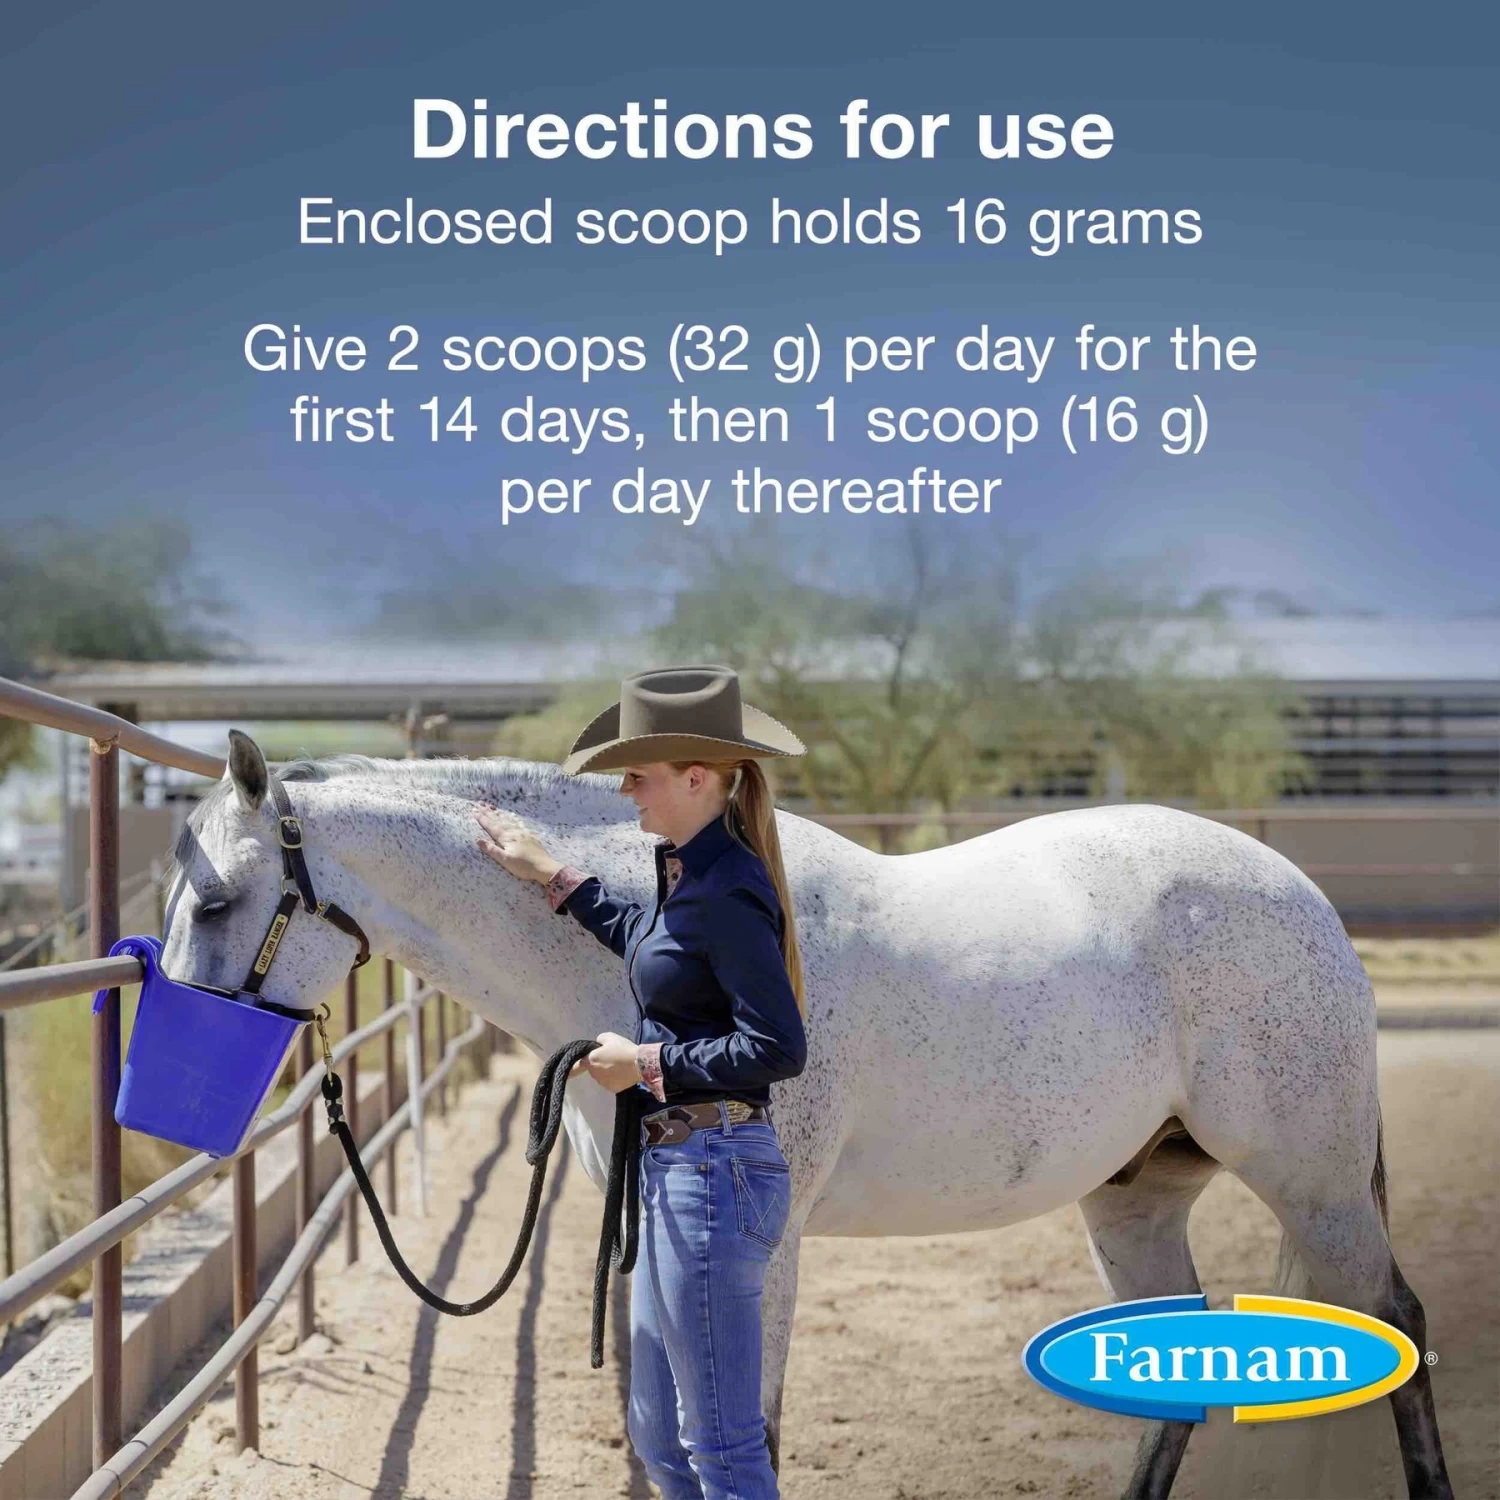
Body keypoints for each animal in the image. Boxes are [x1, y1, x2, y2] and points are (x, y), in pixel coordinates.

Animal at [160, 734, 1453, 1500]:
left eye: (219, 900)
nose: (173, 1108)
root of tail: (1295, 893)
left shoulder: (756, 1245)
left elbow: (747, 1432)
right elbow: (659, 1439)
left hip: (1315, 1182)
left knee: (1396, 1320)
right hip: (1134, 1194)